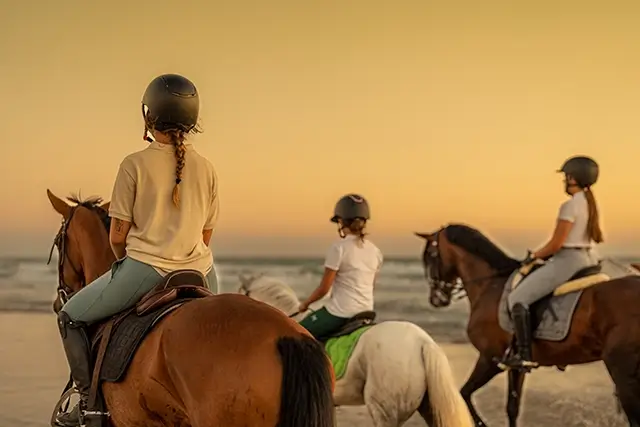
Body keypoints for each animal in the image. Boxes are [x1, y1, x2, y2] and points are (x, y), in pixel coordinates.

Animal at [418, 224, 640, 427]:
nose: (436, 298)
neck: (491, 286)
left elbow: (464, 394)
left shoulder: (489, 359)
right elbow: (512, 407)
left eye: (430, 255)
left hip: (622, 370)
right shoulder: (515, 365)